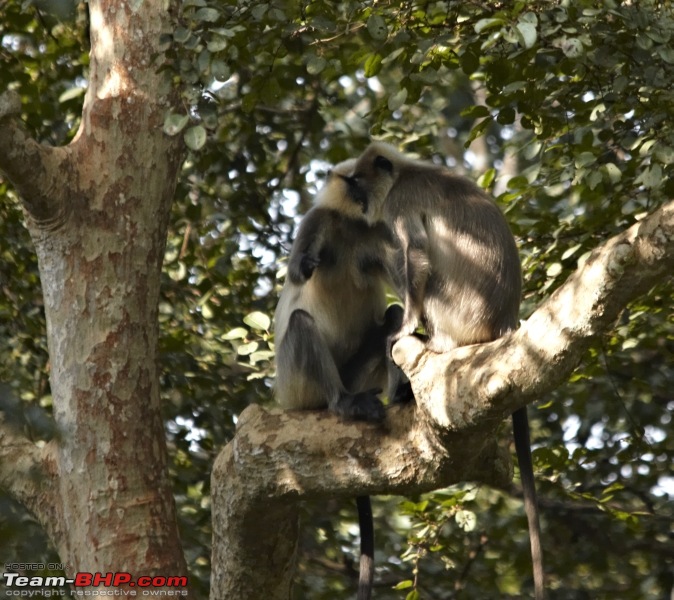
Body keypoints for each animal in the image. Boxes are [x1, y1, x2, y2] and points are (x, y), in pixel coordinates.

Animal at [272, 157, 402, 596]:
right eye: (351, 182)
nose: (362, 198)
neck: (349, 226)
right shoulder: (317, 221)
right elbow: (299, 275)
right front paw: (304, 266)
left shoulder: (378, 233)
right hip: (297, 383)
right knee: (299, 322)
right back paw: (341, 404)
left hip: (356, 373)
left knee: (392, 318)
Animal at [342, 142, 544, 600]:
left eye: (359, 184)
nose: (357, 201)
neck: (405, 174)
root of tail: (504, 322)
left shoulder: (399, 204)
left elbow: (416, 253)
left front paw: (402, 328)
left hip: (454, 313)